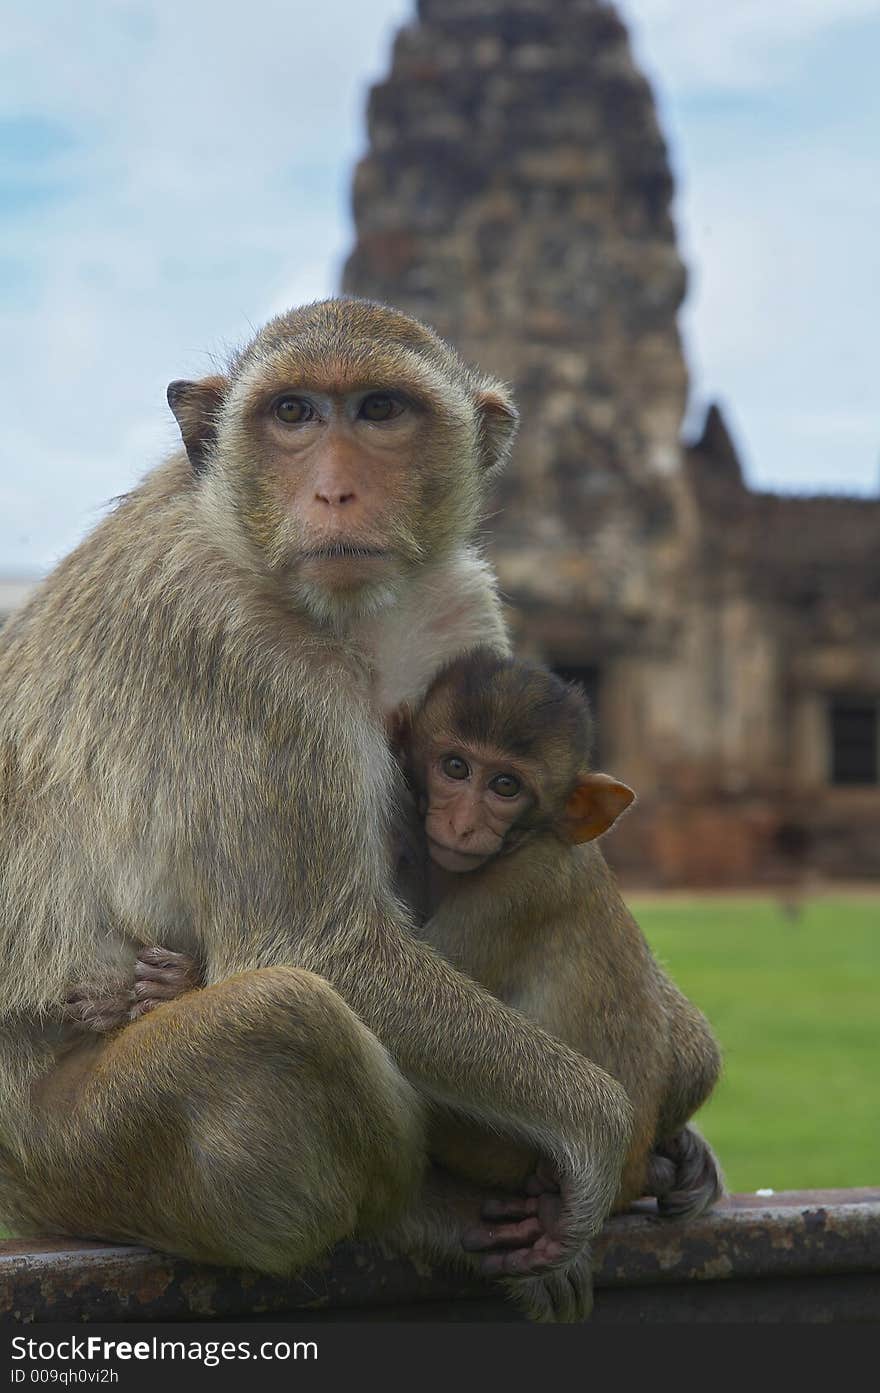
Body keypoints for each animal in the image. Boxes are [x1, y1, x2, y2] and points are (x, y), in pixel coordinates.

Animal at [0, 299, 632, 1320]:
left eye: (379, 410)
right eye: (293, 413)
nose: (335, 492)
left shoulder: (457, 605)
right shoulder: (249, 660)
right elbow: (322, 950)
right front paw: (597, 1123)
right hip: (72, 1154)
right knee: (287, 1019)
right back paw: (423, 1215)